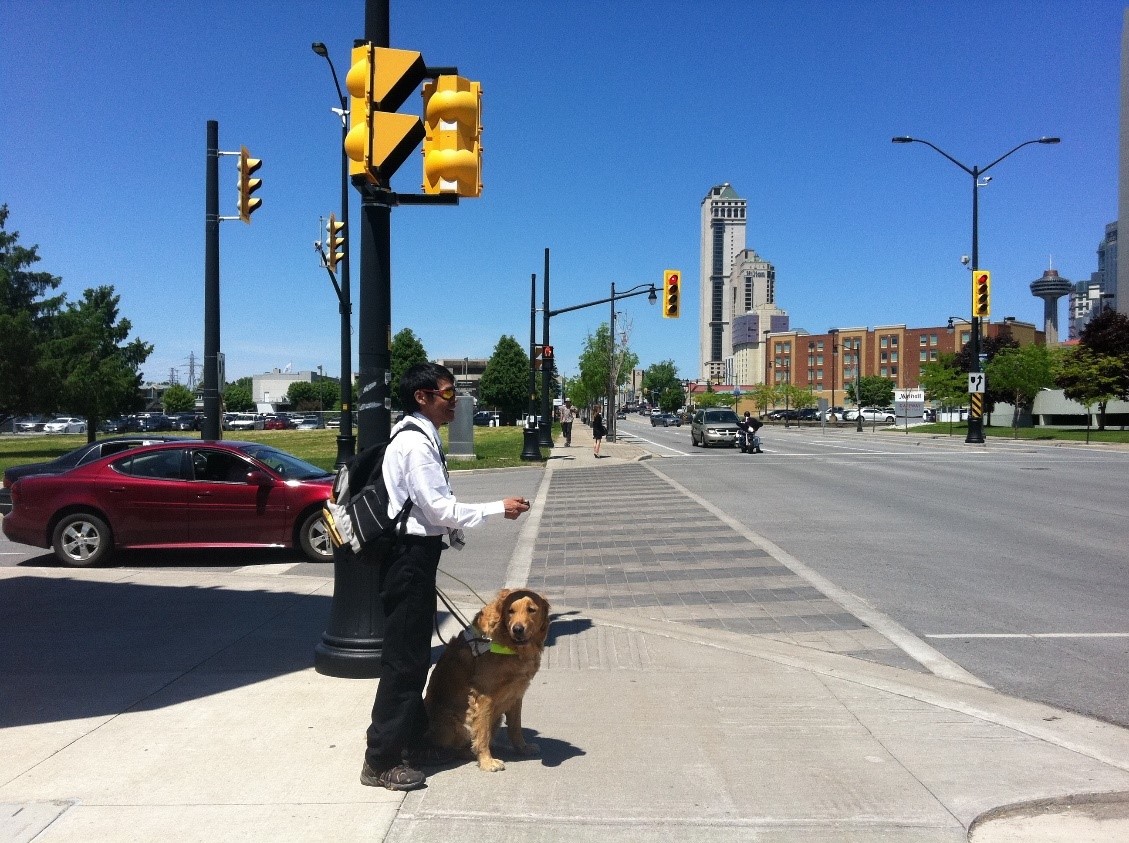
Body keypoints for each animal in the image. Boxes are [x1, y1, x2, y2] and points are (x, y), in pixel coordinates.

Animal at [424, 586, 550, 771]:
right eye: (510, 611)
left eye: (531, 610)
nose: (517, 629)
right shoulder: (484, 696)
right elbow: (482, 733)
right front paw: (486, 761)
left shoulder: (516, 694)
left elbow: (515, 727)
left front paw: (522, 748)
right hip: (456, 724)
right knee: (457, 749)